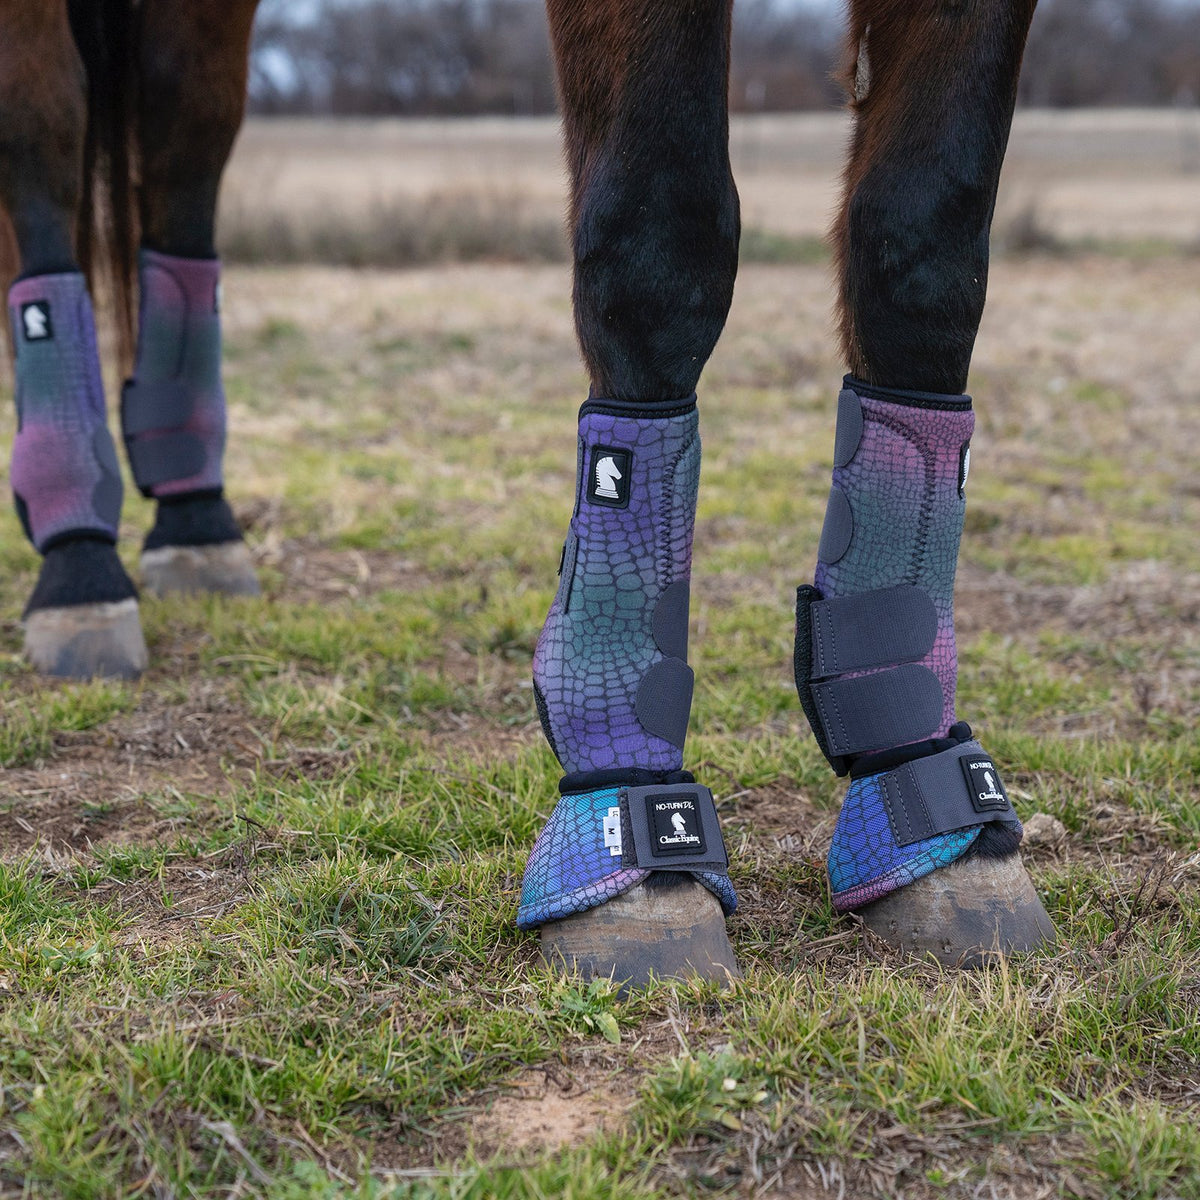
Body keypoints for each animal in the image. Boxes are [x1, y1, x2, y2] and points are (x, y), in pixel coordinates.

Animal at [0, 0, 1053, 981]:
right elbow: (660, 240)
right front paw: (628, 819)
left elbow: (927, 250)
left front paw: (932, 807)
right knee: (47, 146)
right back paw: (80, 561)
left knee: (180, 148)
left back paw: (193, 518)